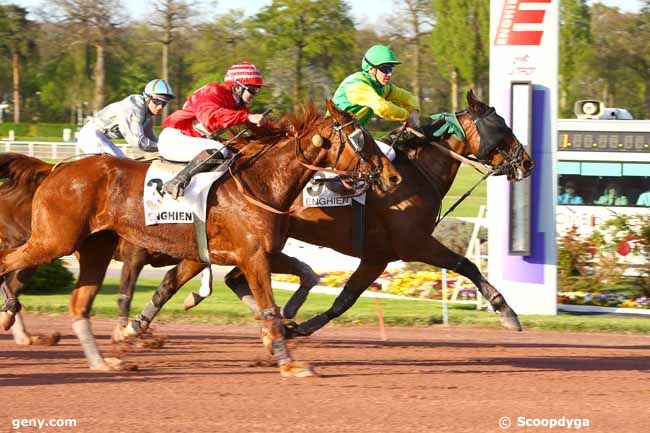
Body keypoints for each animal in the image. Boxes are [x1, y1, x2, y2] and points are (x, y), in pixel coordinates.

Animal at [0, 101, 400, 374]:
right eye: (361, 138)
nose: (392, 176)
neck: (260, 183)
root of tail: (56, 168)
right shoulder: (251, 255)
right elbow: (268, 305)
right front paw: (288, 360)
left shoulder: (238, 253)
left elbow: (305, 274)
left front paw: (286, 326)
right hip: (54, 241)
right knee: (8, 264)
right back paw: (11, 316)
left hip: (93, 247)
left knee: (78, 303)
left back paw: (102, 363)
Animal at [126, 90, 532, 334]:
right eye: (501, 127)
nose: (526, 162)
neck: (416, 172)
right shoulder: (414, 243)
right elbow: (467, 265)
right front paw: (507, 312)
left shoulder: (378, 256)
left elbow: (344, 300)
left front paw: (299, 327)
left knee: (225, 278)